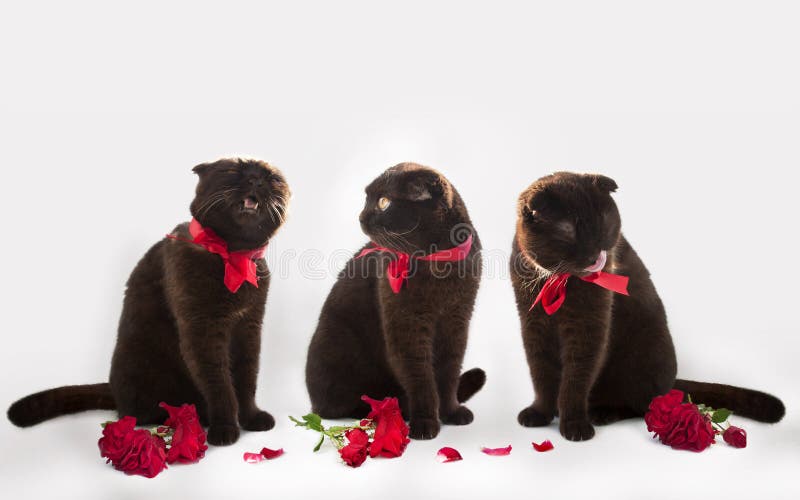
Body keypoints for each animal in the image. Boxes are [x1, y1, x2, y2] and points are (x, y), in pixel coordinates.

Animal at [7, 157, 290, 446]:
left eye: (272, 178)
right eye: (233, 170)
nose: (256, 179)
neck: (232, 255)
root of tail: (113, 389)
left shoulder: (249, 327)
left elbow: (247, 378)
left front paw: (252, 418)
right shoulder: (202, 330)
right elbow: (219, 382)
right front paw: (224, 428)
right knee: (138, 411)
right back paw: (192, 418)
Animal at [304, 163, 482, 438]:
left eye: (384, 202)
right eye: (366, 199)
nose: (361, 217)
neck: (437, 263)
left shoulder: (457, 320)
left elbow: (449, 372)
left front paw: (451, 412)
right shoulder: (406, 325)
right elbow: (420, 377)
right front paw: (425, 422)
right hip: (332, 345)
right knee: (332, 407)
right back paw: (386, 409)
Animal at [510, 172, 784, 442]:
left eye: (602, 223)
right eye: (569, 230)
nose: (596, 252)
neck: (555, 281)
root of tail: (672, 383)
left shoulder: (588, 326)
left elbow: (576, 378)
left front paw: (574, 425)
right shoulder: (532, 325)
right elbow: (541, 373)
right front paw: (540, 412)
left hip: (644, 356)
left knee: (641, 403)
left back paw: (603, 413)